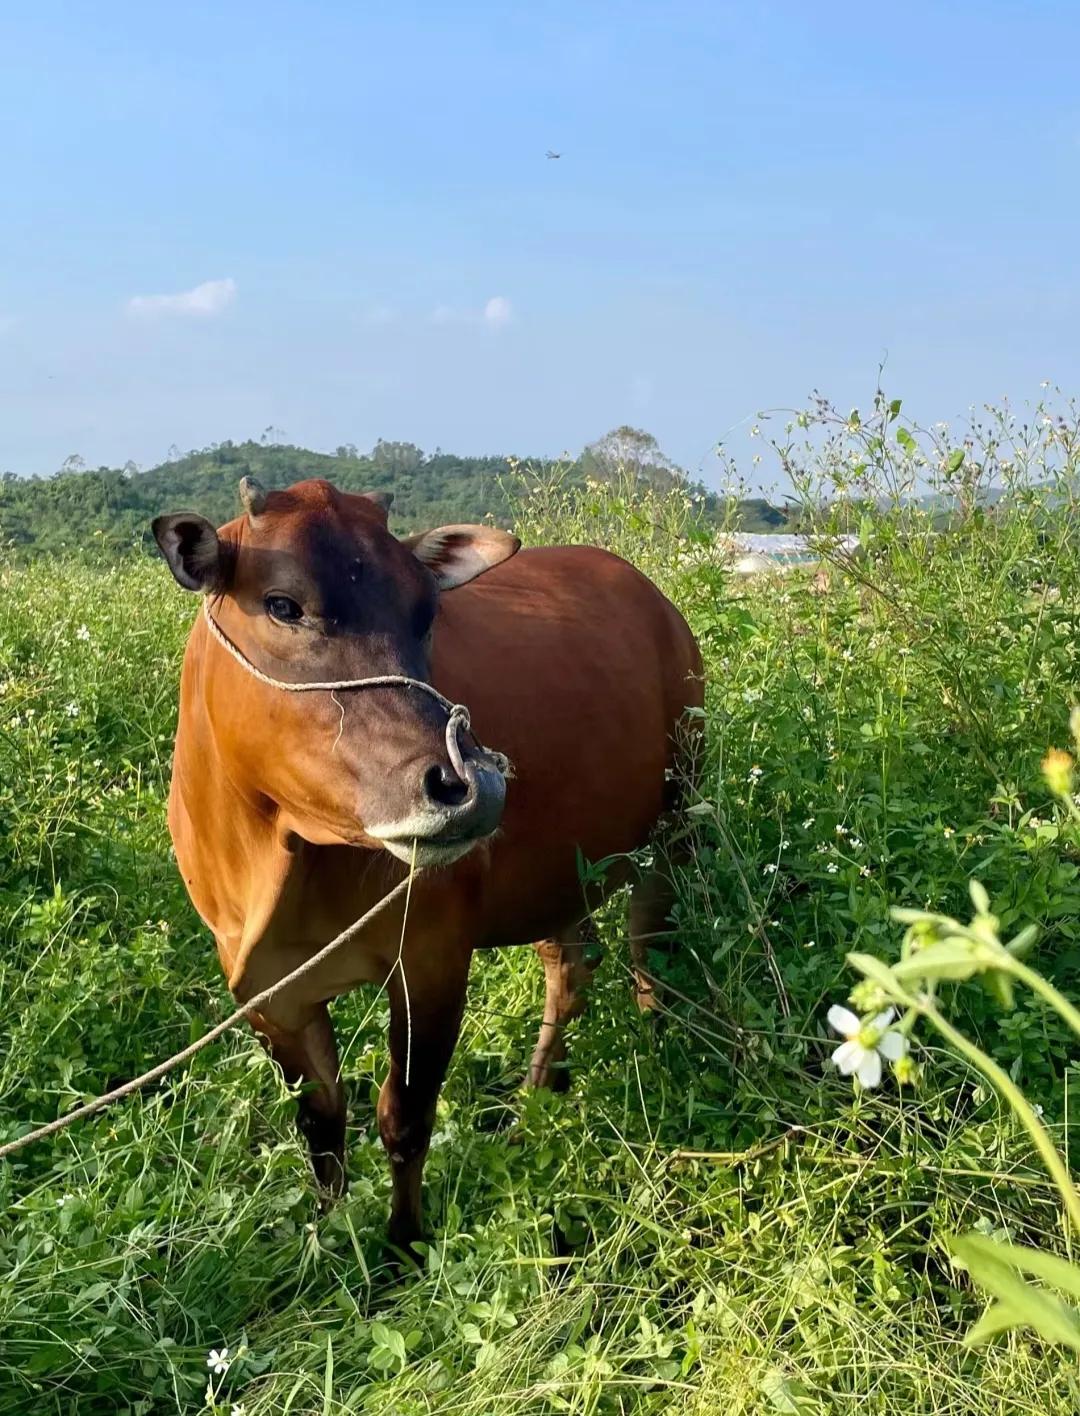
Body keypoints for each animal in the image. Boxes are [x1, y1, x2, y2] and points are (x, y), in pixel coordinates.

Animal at [156, 475, 704, 1251]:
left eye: (427, 614)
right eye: (283, 605)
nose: (469, 782)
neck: (283, 857)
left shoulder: (431, 959)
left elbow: (404, 1118)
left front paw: (403, 1246)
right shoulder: (262, 985)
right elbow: (321, 1120)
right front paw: (328, 1232)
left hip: (679, 814)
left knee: (647, 946)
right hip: (557, 875)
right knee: (571, 969)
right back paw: (532, 1104)